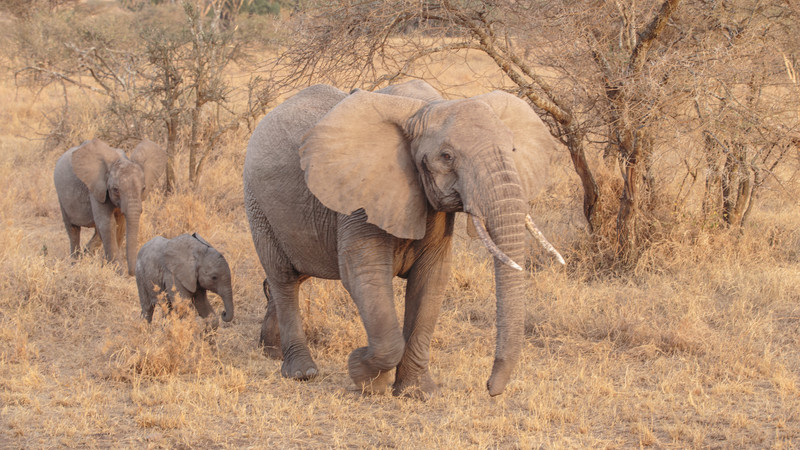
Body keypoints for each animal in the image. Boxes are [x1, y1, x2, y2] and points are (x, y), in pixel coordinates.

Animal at [53, 139, 167, 276]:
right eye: (115, 190)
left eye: (143, 188)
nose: (132, 273)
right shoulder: (97, 188)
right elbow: (107, 223)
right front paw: (118, 271)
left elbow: (120, 225)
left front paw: (107, 267)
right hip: (61, 196)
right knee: (73, 229)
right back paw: (75, 263)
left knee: (96, 231)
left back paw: (86, 254)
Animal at [247, 81, 560, 398]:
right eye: (446, 157)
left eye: (513, 149)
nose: (489, 388)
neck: (427, 108)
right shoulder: (362, 197)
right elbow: (365, 274)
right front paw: (364, 376)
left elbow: (431, 278)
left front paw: (417, 392)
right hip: (258, 206)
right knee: (284, 278)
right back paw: (301, 372)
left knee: (297, 274)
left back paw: (270, 350)